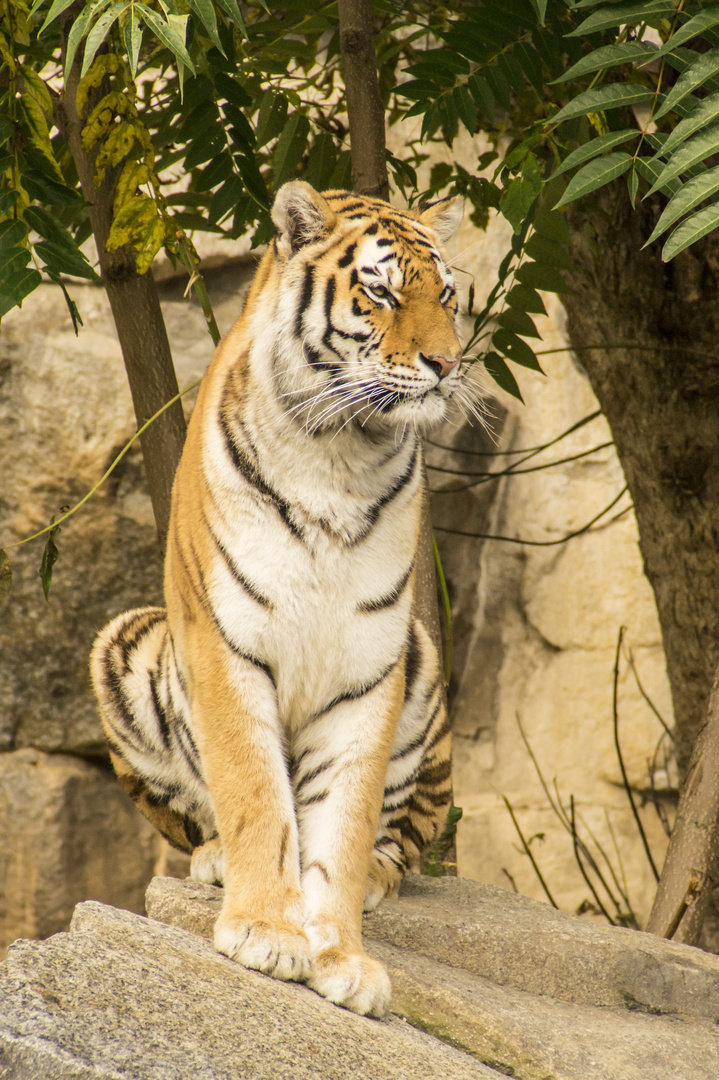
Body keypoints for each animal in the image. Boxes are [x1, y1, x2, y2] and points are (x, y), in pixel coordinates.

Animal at [91, 181, 475, 1015]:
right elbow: (255, 792)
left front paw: (342, 957)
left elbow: (343, 824)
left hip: (422, 664)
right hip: (124, 643)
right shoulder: (228, 641)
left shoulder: (370, 662)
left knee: (401, 843)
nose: (444, 364)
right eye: (382, 291)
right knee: (199, 819)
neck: (343, 453)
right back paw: (213, 863)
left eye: (447, 296)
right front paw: (267, 931)